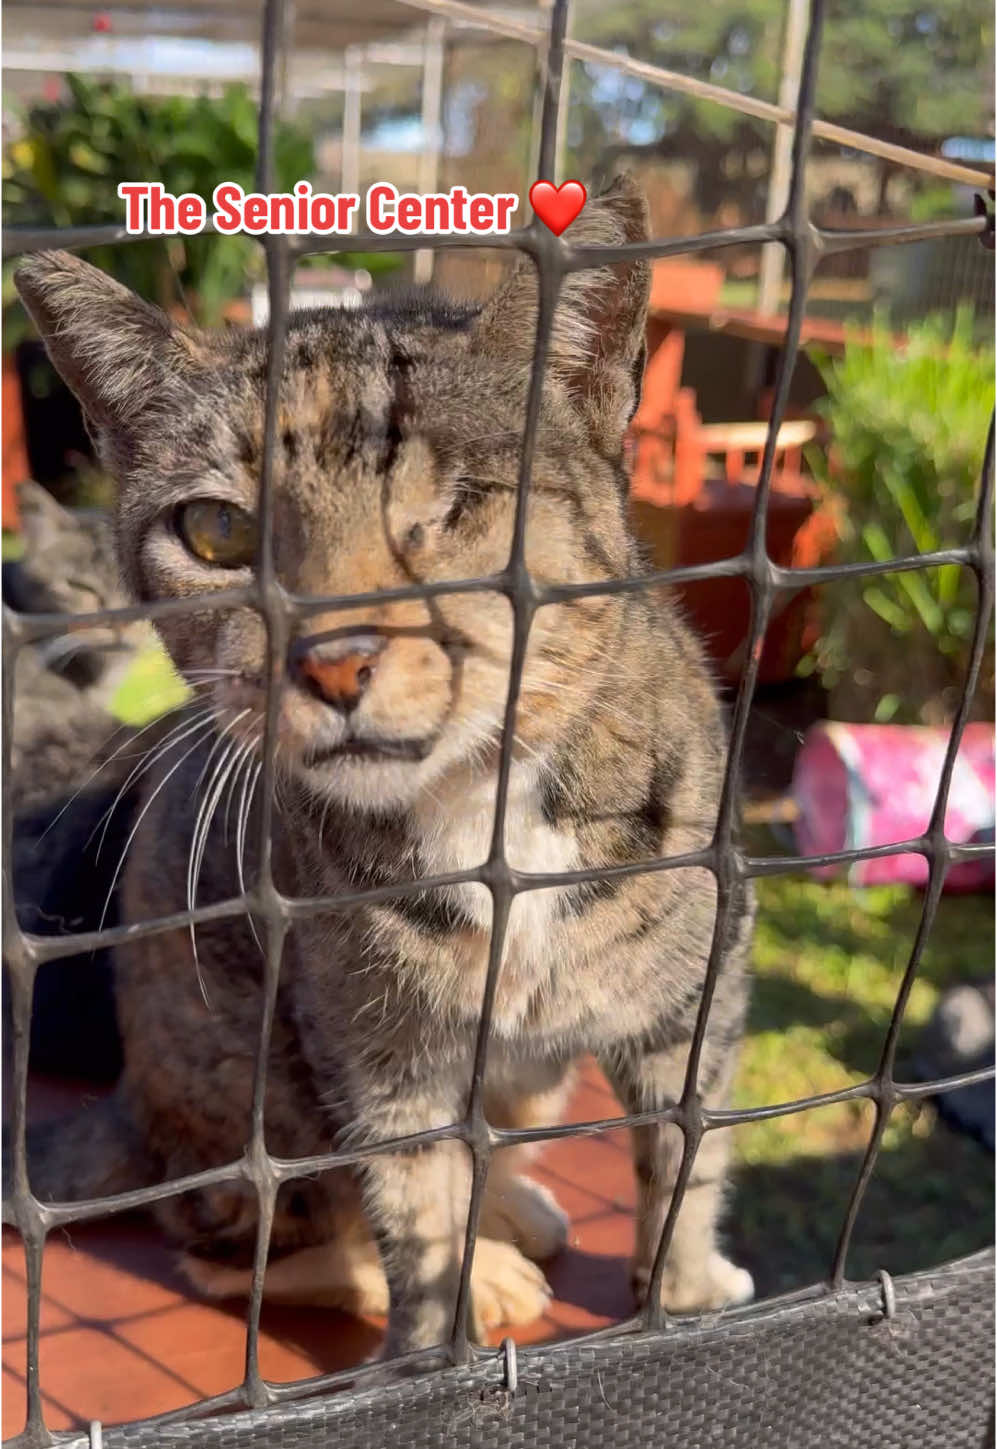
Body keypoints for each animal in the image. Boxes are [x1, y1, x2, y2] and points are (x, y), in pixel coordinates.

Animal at [11, 175, 753, 1350]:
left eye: (455, 504)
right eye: (215, 530)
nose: (334, 657)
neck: (481, 803)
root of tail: (133, 1111)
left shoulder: (703, 983)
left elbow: (690, 1143)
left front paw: (680, 1286)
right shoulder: (371, 1047)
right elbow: (411, 1205)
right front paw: (446, 1322)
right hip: (255, 1064)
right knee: (241, 1251)